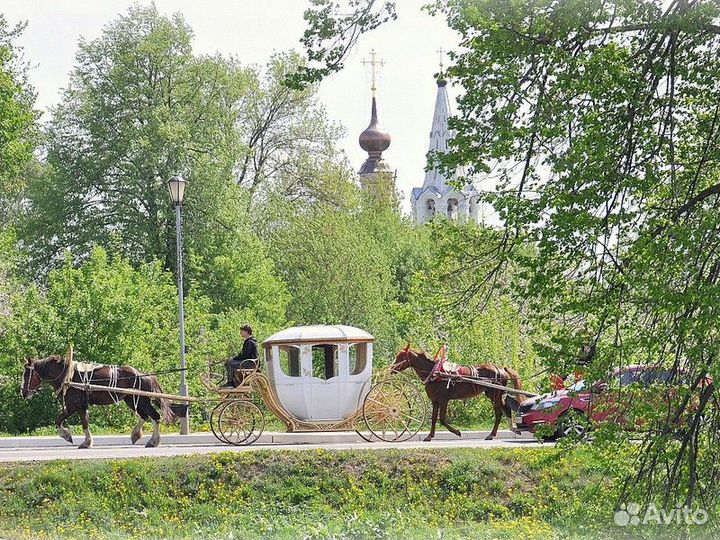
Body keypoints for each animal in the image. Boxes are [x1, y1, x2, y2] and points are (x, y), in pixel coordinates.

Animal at [21, 356, 173, 450]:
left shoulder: (74, 406)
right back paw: (136, 435)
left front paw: (69, 437)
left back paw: (153, 441)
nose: (23, 393)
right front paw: (86, 442)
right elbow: (84, 423)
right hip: (131, 400)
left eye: (27, 374)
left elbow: (60, 420)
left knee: (155, 416)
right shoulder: (81, 406)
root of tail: (146, 375)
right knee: (146, 416)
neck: (67, 376)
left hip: (142, 400)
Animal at [394, 348, 524, 440]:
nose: (392, 368)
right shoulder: (435, 400)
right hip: (494, 395)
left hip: (494, 395)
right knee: (505, 409)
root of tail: (501, 368)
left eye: (401, 357)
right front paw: (429, 436)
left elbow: (442, 419)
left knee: (499, 413)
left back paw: (492, 434)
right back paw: (512, 429)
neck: (436, 373)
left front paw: (456, 431)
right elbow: (434, 418)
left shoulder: (443, 399)